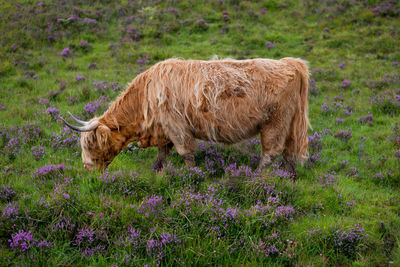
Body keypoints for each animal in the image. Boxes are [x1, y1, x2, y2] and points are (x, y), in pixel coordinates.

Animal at [63, 58, 312, 180]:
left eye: (90, 144)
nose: (86, 168)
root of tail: (290, 63)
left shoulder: (176, 126)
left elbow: (185, 152)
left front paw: (192, 176)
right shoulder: (164, 130)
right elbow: (162, 154)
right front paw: (156, 172)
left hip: (275, 121)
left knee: (271, 151)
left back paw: (257, 177)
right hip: (290, 123)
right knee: (289, 151)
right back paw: (290, 178)